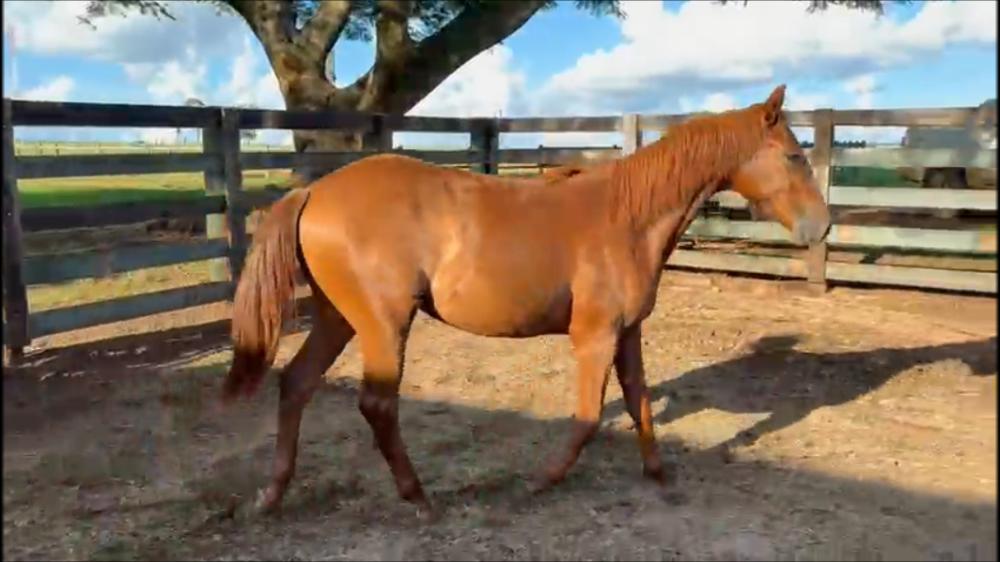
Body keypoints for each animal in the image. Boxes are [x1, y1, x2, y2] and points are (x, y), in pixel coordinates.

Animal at [220, 84, 830, 518]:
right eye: (794, 156)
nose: (821, 227)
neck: (627, 218)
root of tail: (313, 192)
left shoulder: (628, 333)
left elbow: (639, 401)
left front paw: (660, 476)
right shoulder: (594, 337)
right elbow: (587, 418)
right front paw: (542, 480)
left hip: (338, 318)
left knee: (296, 383)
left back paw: (272, 495)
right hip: (383, 324)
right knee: (376, 406)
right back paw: (418, 498)